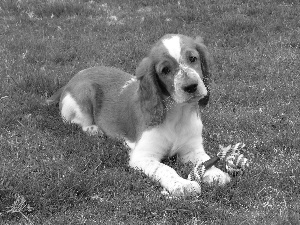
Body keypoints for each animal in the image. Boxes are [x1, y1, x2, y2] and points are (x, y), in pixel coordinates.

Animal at [46, 34, 230, 196]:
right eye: (165, 70)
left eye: (193, 58)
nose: (191, 86)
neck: (178, 113)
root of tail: (73, 79)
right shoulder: (143, 156)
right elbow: (165, 168)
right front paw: (182, 185)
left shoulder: (192, 149)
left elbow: (204, 160)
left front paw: (216, 173)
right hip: (83, 95)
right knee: (75, 122)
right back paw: (93, 129)